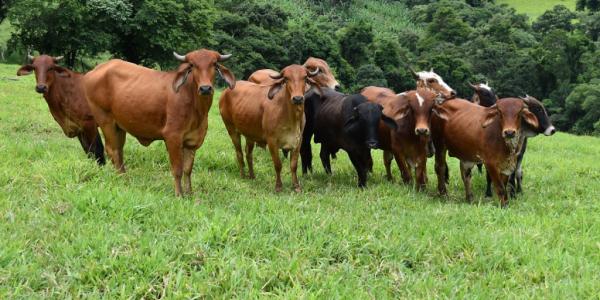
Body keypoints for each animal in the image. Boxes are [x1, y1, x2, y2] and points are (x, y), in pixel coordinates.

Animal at [83, 48, 236, 197]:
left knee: (119, 151)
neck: (197, 108)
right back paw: (122, 179)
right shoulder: (172, 137)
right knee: (112, 150)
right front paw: (179, 194)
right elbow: (177, 169)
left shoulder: (192, 141)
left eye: (214, 64)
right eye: (192, 65)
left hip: (119, 126)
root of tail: (96, 69)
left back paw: (124, 177)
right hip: (106, 121)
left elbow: (188, 169)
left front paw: (189, 193)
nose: (205, 88)